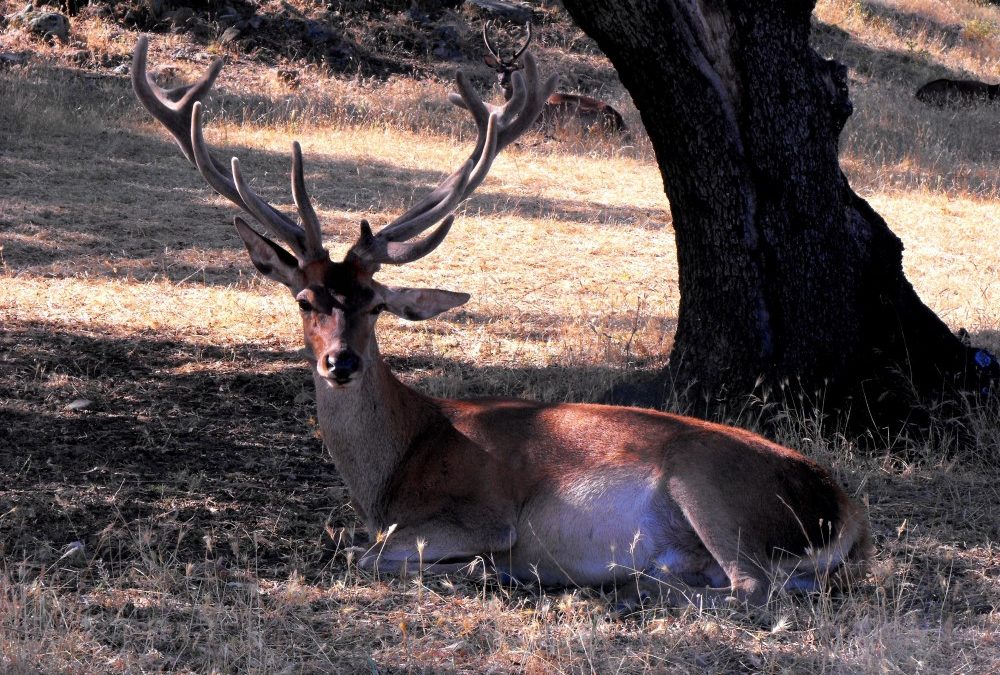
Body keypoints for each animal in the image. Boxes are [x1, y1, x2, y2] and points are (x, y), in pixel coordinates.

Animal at [133, 34, 868, 608]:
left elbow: (360, 553)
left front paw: (485, 571)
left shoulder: (478, 515)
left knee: (756, 587)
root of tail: (846, 509)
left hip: (711, 487)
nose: (340, 361)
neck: (391, 474)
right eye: (305, 300)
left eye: (374, 303)